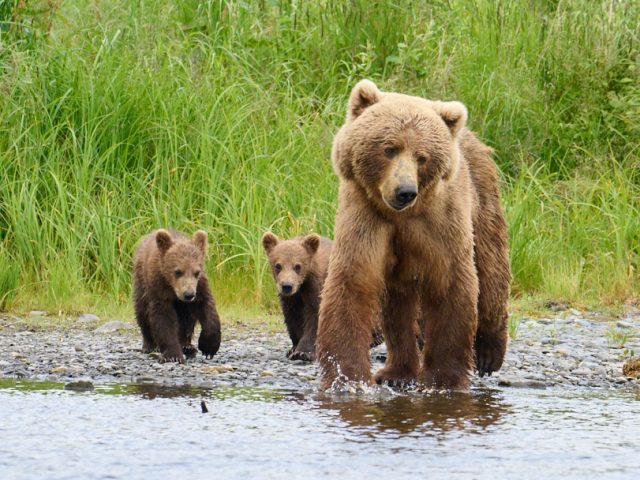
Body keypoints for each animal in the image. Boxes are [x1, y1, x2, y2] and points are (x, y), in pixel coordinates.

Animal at [133, 229, 221, 363]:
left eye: (196, 272)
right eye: (178, 271)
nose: (188, 294)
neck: (172, 288)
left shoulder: (199, 286)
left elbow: (206, 308)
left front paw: (208, 347)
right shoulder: (158, 287)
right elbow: (163, 317)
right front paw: (173, 355)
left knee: (187, 318)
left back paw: (187, 346)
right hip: (141, 284)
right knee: (142, 312)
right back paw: (149, 345)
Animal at [261, 232, 333, 361]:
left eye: (297, 266)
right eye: (278, 266)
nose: (287, 286)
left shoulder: (315, 288)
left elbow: (314, 317)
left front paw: (303, 352)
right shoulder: (291, 299)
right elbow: (293, 318)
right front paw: (293, 349)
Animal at [316, 80, 511, 390]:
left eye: (422, 157)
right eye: (389, 148)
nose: (405, 191)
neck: (401, 216)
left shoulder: (440, 222)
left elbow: (451, 283)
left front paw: (443, 380)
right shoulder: (366, 216)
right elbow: (353, 280)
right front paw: (347, 377)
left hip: (483, 198)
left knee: (491, 270)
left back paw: (489, 353)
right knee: (398, 307)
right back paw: (397, 372)